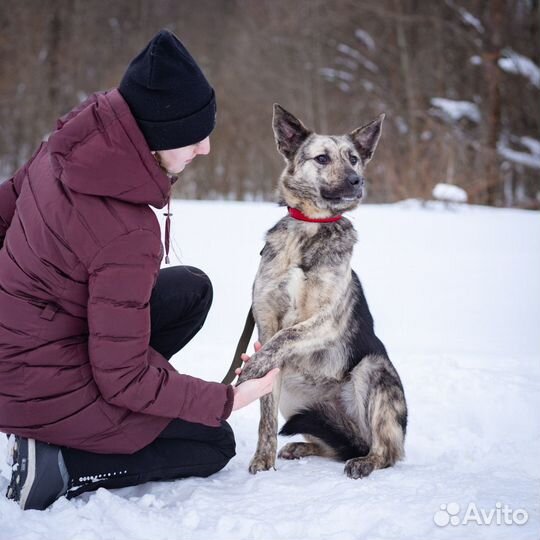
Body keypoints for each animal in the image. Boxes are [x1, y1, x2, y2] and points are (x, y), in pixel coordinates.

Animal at [235, 105, 404, 480]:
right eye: (322, 158)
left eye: (354, 159)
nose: (356, 181)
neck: (310, 227)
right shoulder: (266, 322)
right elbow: (265, 416)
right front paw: (262, 460)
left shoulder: (326, 320)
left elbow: (285, 337)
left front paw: (253, 366)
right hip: (293, 395)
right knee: (333, 446)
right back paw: (302, 446)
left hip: (372, 370)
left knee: (386, 451)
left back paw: (366, 461)